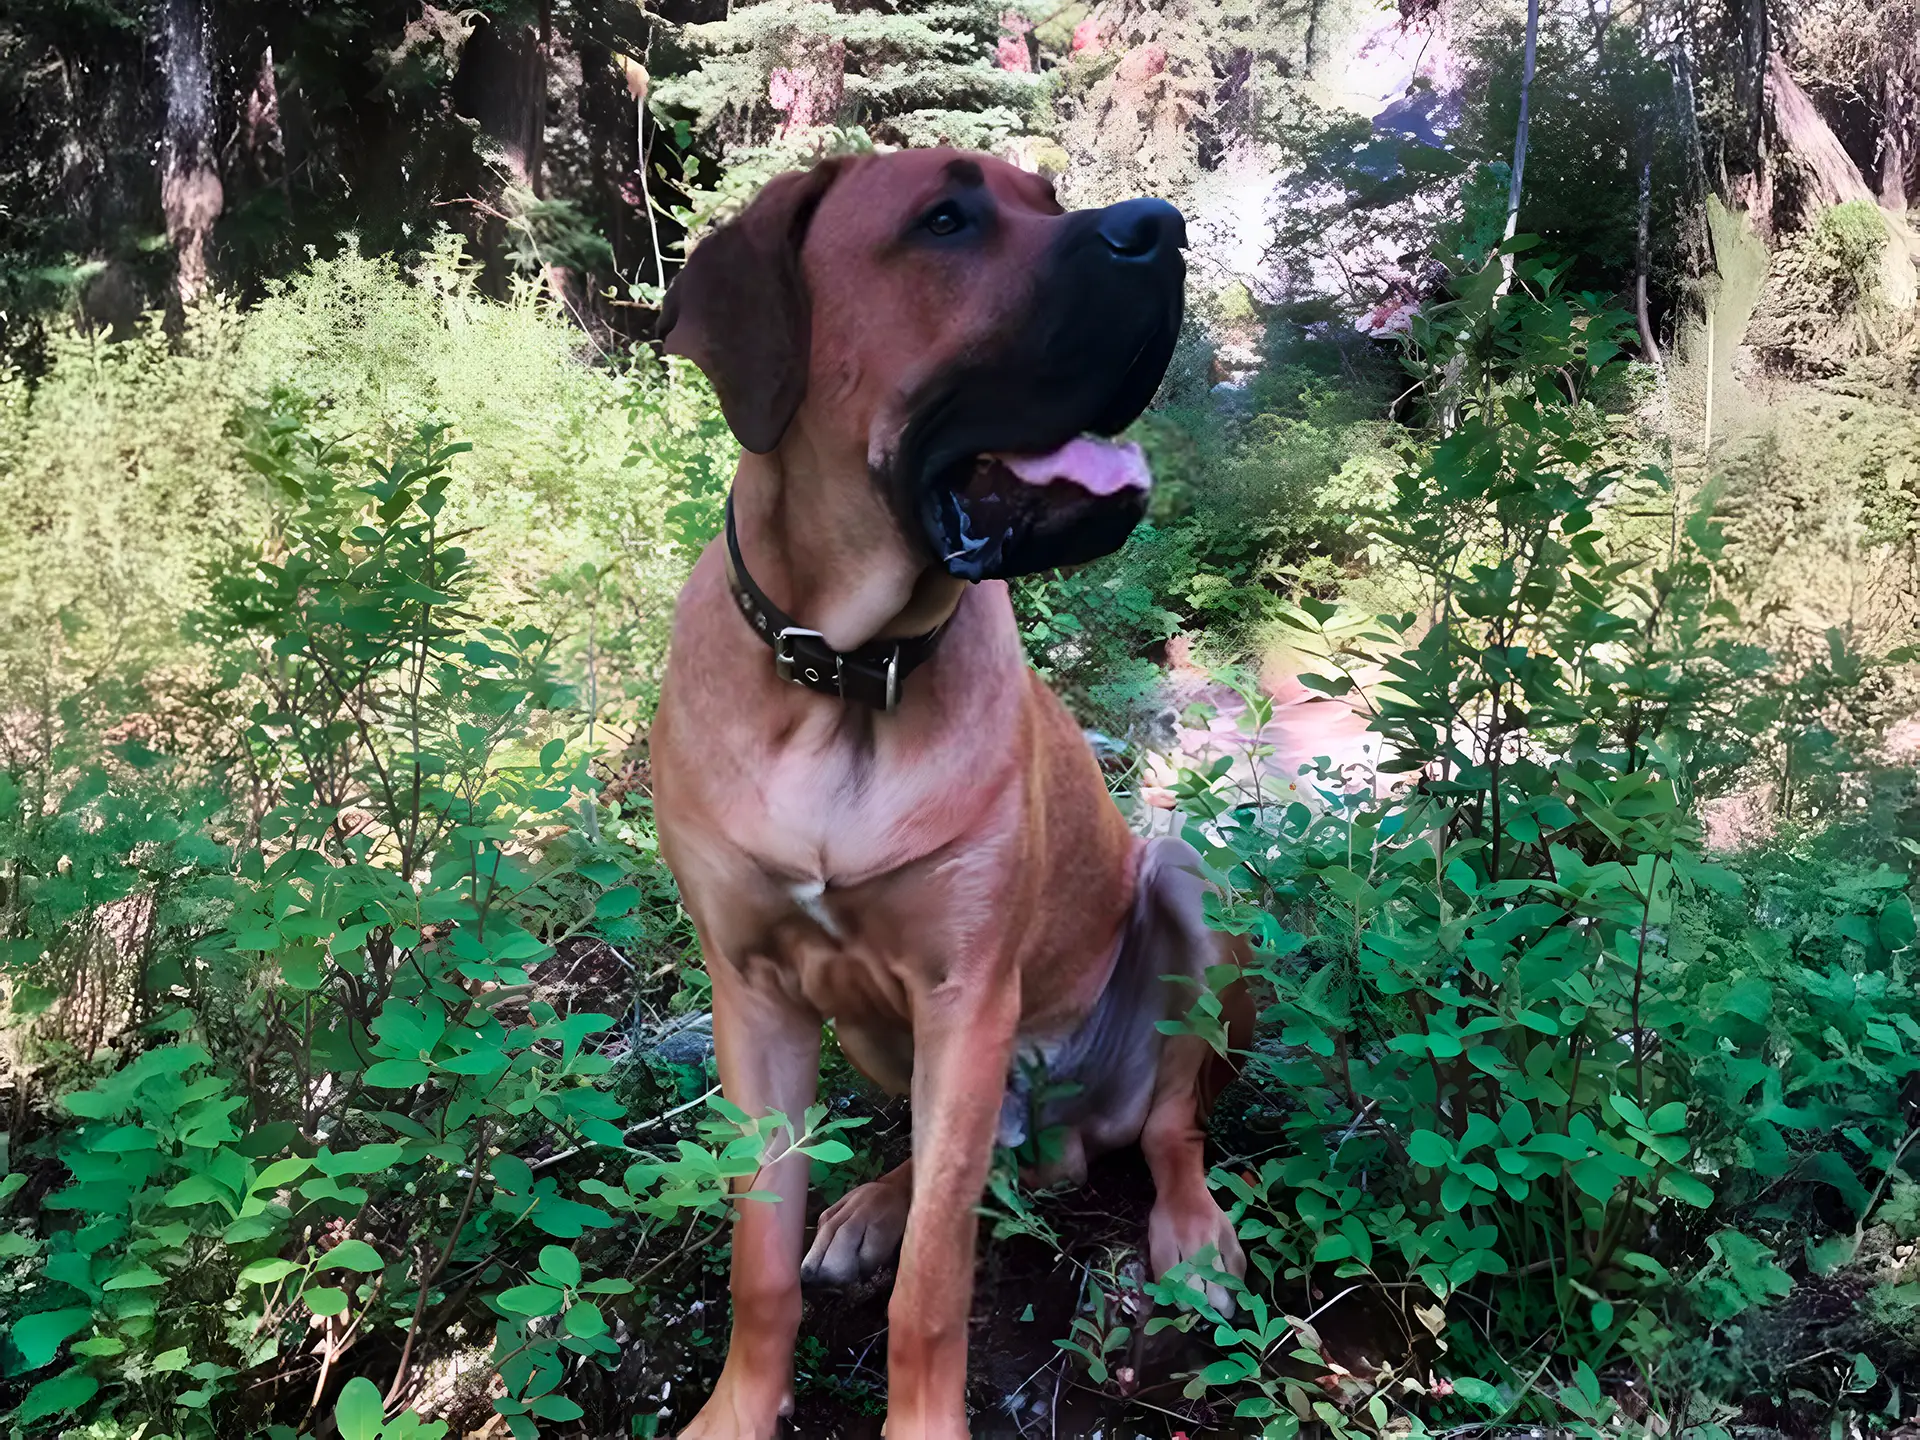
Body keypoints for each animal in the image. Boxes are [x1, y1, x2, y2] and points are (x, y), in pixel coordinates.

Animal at [648, 149, 1244, 1440]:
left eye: (1049, 195)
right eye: (945, 220)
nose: (1164, 227)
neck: (846, 675)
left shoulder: (966, 995)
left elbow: (935, 1286)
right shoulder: (755, 997)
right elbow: (758, 1257)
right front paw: (738, 1406)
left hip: (1184, 896)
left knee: (1169, 1127)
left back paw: (1193, 1235)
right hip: (885, 1031)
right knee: (944, 1161)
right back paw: (872, 1203)